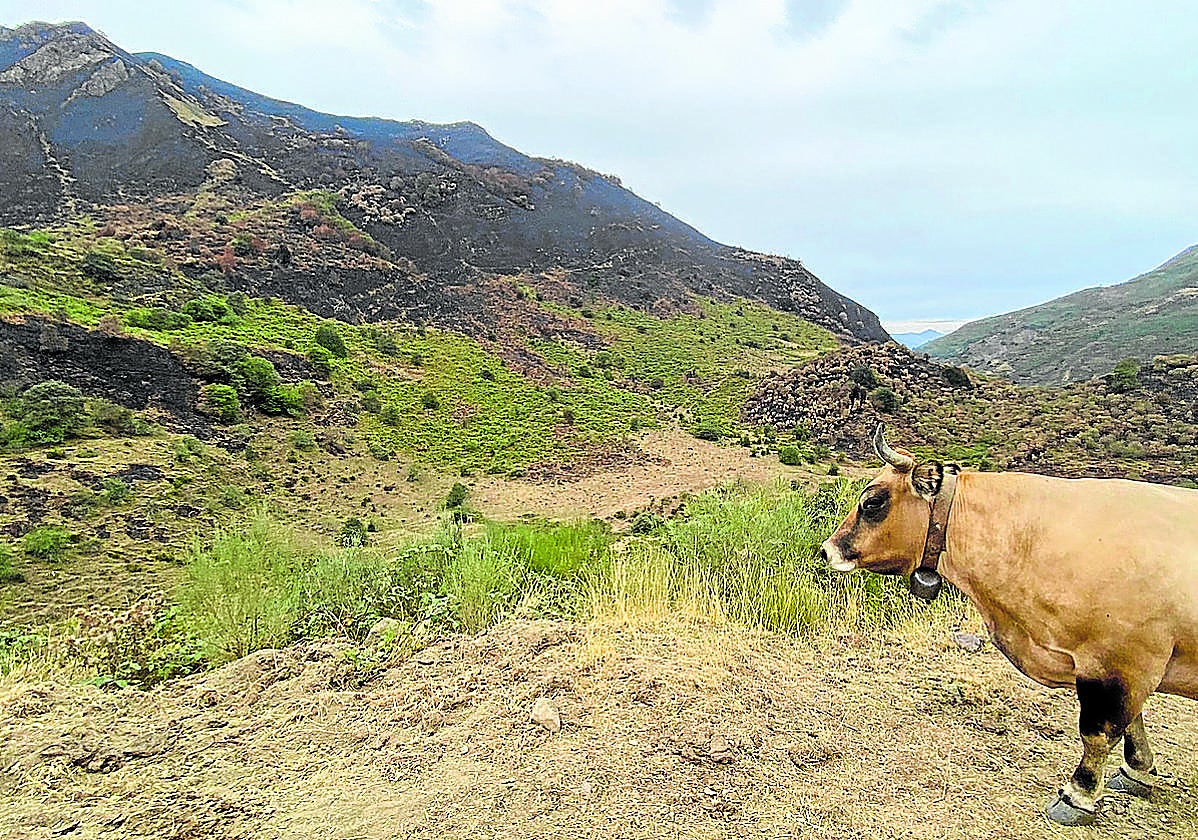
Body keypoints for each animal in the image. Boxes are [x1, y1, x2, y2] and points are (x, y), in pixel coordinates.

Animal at [820, 425, 1198, 826]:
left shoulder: (1119, 662)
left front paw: (1077, 794)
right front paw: (1137, 770)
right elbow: (1132, 721)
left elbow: (1099, 731)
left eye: (873, 503)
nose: (827, 549)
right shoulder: (1125, 668)